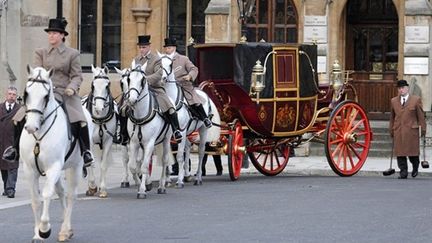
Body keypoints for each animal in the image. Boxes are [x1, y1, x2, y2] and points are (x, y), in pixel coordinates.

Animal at [21, 65, 94, 242]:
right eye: (27, 93)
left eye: (45, 96)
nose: (31, 127)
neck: (39, 133)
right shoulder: (29, 170)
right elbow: (35, 200)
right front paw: (37, 234)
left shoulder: (53, 167)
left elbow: (47, 194)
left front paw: (44, 229)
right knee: (61, 192)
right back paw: (65, 228)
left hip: (76, 166)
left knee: (70, 195)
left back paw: (65, 229)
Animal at [84, 65, 118, 197]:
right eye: (93, 86)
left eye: (107, 86)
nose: (99, 108)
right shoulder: (89, 141)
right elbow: (91, 163)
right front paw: (92, 187)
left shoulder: (108, 140)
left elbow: (103, 164)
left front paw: (102, 189)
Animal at [123, 60, 170, 197]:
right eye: (129, 79)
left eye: (143, 80)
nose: (132, 100)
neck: (140, 114)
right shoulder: (134, 143)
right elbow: (133, 166)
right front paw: (140, 185)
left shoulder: (150, 142)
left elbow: (143, 166)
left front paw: (142, 190)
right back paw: (149, 182)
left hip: (167, 138)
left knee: (164, 160)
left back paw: (161, 186)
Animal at [158, 52, 221, 187]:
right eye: (159, 64)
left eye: (170, 64)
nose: (163, 78)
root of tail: (203, 93)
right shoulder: (170, 134)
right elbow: (168, 156)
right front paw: (167, 179)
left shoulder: (180, 132)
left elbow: (179, 156)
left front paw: (179, 181)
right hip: (188, 132)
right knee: (187, 149)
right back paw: (187, 175)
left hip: (202, 130)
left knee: (201, 152)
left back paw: (198, 178)